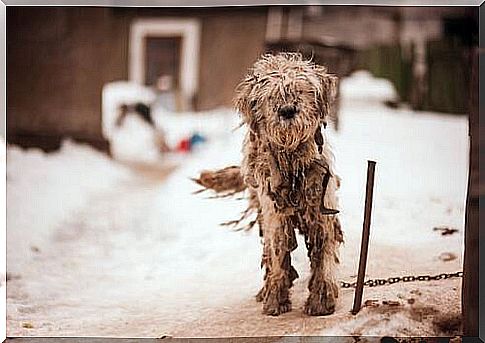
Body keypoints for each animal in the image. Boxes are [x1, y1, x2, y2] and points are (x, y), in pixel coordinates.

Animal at [195, 53, 342, 318]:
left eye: (301, 89)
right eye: (270, 94)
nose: (287, 110)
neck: (292, 164)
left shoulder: (321, 208)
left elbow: (323, 252)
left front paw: (321, 300)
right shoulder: (275, 214)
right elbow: (278, 253)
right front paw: (275, 298)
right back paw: (265, 291)